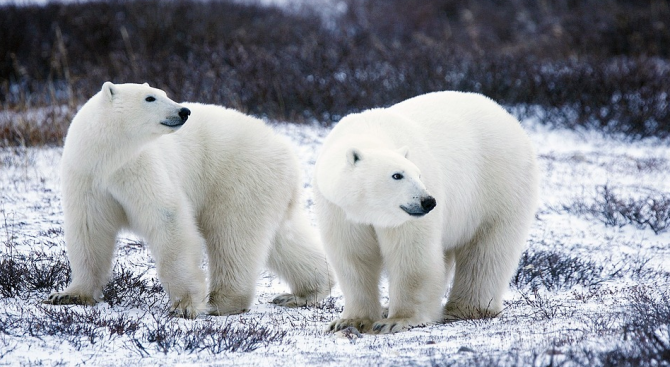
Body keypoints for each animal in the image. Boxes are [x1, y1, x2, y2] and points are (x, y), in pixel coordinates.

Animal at [44, 82, 334, 318]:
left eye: (164, 93)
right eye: (150, 97)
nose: (184, 111)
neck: (108, 157)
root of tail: (287, 151)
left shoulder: (140, 167)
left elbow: (168, 219)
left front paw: (184, 306)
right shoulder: (87, 176)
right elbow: (89, 230)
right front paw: (68, 295)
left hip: (239, 177)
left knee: (232, 235)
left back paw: (222, 302)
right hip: (268, 188)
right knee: (282, 239)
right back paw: (304, 292)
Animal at [316, 90, 540, 334]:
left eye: (418, 174)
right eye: (397, 175)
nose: (428, 202)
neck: (369, 131)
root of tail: (508, 117)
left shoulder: (406, 218)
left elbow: (412, 255)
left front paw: (396, 320)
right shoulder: (339, 210)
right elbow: (353, 257)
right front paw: (349, 321)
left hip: (499, 185)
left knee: (487, 250)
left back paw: (465, 308)